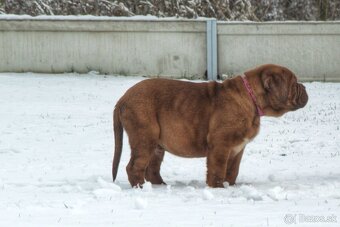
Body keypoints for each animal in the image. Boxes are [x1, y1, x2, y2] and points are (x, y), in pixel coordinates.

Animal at [111, 63, 308, 188]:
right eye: (293, 83)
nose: (305, 87)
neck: (251, 98)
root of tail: (123, 98)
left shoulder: (238, 148)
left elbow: (233, 170)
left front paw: (230, 186)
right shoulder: (220, 145)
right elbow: (218, 168)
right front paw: (218, 188)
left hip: (157, 145)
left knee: (152, 169)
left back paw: (161, 186)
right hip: (144, 137)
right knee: (134, 166)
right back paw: (141, 188)